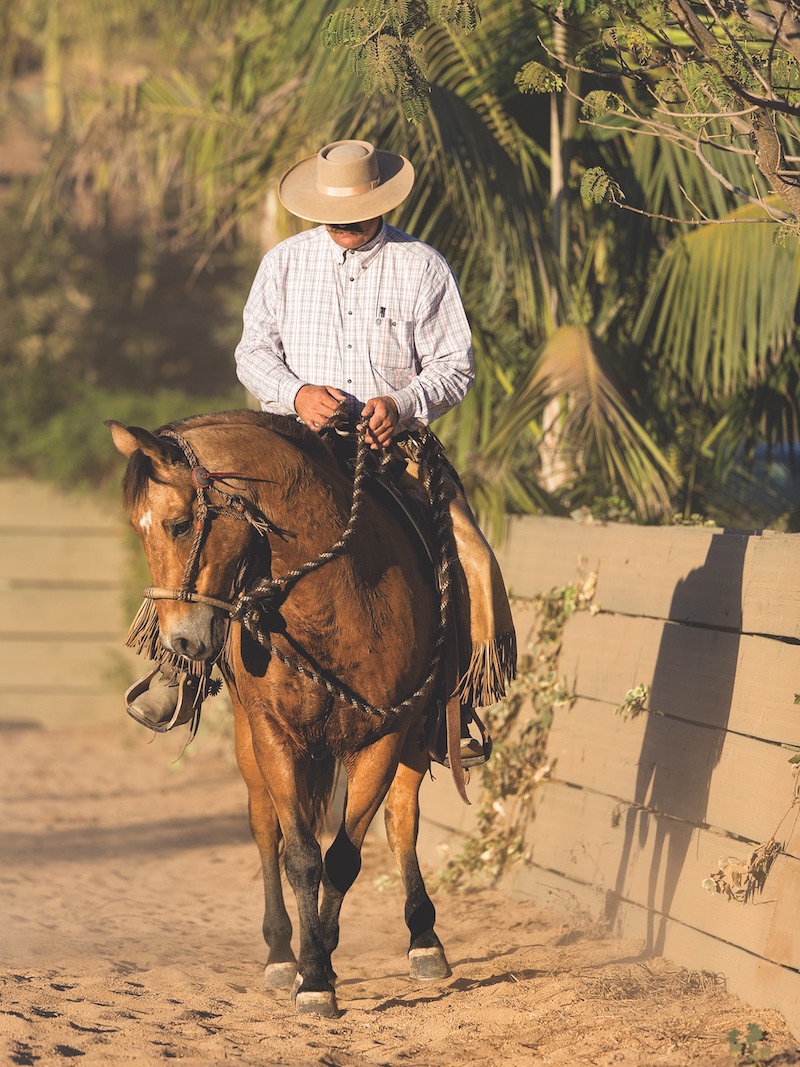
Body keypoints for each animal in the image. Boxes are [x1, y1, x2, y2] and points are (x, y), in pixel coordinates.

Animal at [106, 409, 455, 1017]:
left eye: (179, 525)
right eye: (139, 527)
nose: (180, 643)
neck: (335, 603)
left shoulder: (385, 736)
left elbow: (345, 857)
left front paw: (327, 966)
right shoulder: (275, 734)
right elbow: (300, 857)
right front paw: (310, 973)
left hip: (412, 736)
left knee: (401, 819)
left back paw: (422, 939)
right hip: (251, 744)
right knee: (265, 828)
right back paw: (280, 954)